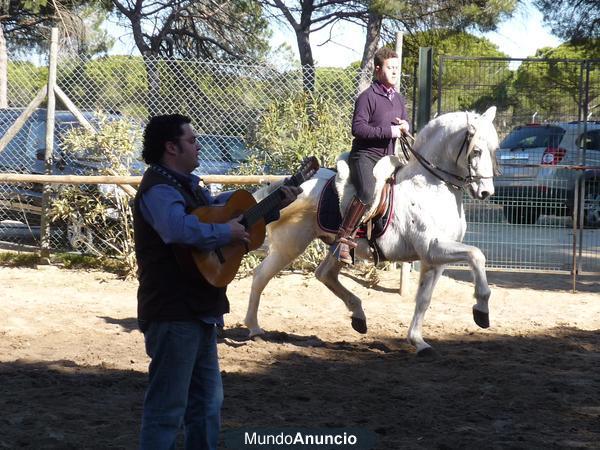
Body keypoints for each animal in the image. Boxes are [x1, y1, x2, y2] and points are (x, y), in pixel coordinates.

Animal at [241, 107, 500, 356]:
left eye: (494, 149)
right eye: (476, 151)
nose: (486, 192)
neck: (429, 186)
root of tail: (290, 185)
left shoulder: (433, 259)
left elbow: (424, 299)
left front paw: (419, 342)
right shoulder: (433, 248)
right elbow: (477, 255)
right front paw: (481, 311)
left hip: (338, 247)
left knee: (324, 274)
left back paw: (359, 317)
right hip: (291, 245)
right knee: (261, 276)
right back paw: (254, 329)